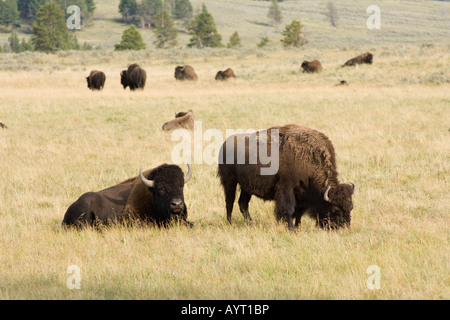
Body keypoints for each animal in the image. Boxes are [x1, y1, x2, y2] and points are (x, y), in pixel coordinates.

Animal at [218, 124, 356, 231]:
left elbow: (299, 212)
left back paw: (251, 223)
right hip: (230, 181)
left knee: (243, 204)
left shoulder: (302, 194)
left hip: (246, 186)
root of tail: (224, 144)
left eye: (351, 207)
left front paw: (297, 227)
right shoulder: (287, 187)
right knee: (229, 202)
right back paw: (230, 223)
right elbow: (289, 208)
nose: (343, 228)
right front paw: (290, 228)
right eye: (335, 209)